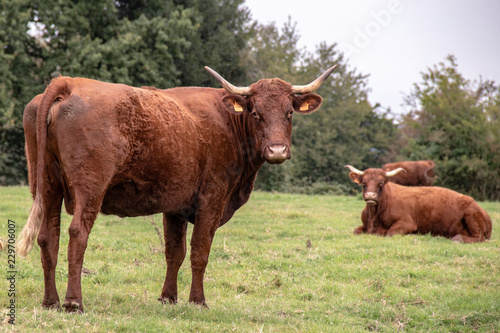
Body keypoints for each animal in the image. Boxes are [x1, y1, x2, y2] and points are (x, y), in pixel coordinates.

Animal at [16, 65, 336, 312]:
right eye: (256, 113)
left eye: (289, 112)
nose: (277, 150)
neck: (228, 122)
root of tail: (69, 82)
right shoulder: (212, 199)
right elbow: (199, 252)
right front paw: (198, 301)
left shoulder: (175, 206)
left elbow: (174, 252)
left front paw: (168, 298)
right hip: (90, 187)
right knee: (77, 234)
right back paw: (74, 302)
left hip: (47, 185)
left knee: (48, 237)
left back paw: (50, 302)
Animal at [346, 165, 490, 243]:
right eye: (364, 183)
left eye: (380, 183)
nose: (371, 196)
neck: (374, 218)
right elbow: (355, 231)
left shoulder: (407, 223)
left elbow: (390, 233)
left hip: (471, 216)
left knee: (478, 238)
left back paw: (457, 238)